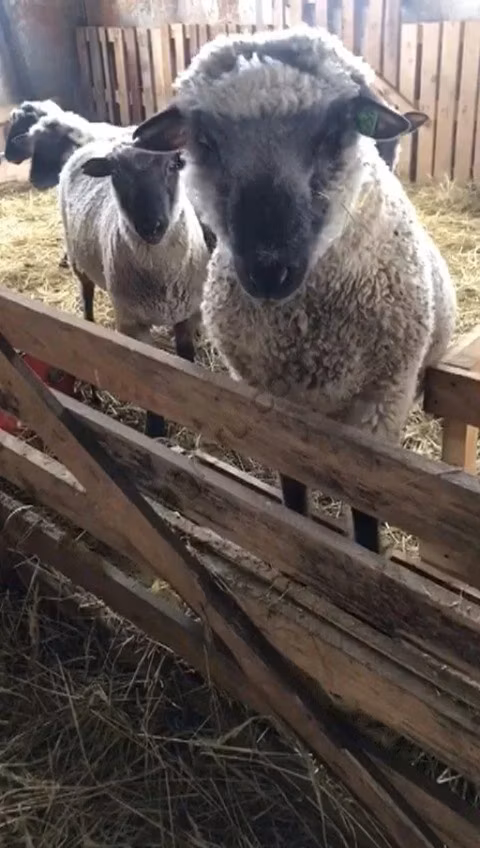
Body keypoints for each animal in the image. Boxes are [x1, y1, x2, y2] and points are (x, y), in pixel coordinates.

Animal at [58, 136, 209, 438]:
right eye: (117, 172)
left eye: (174, 164)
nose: (152, 225)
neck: (163, 280)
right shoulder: (133, 323)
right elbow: (146, 376)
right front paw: (155, 429)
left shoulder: (188, 314)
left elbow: (186, 363)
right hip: (79, 264)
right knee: (87, 306)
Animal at [132, 24, 456, 552]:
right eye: (206, 141)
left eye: (333, 133)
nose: (268, 270)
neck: (307, 337)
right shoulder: (271, 400)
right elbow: (292, 486)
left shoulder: (380, 405)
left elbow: (368, 510)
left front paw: (366, 555)